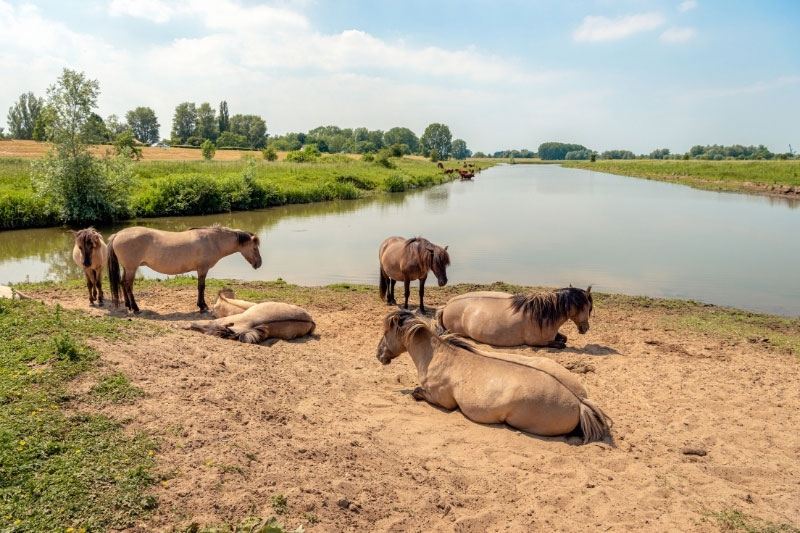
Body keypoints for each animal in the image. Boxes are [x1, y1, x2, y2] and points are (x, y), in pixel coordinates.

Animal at [108, 225, 262, 313]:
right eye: (254, 248)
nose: (259, 264)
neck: (212, 240)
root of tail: (117, 234)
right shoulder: (202, 269)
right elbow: (201, 287)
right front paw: (202, 306)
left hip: (127, 268)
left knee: (123, 283)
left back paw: (128, 305)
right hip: (131, 268)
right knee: (128, 285)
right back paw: (135, 308)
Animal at [376, 310, 612, 443]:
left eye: (386, 332)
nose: (379, 355)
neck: (439, 354)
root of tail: (580, 402)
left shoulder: (441, 400)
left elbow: (417, 392)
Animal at [436, 287, 593, 349]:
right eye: (588, 307)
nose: (586, 328)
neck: (541, 315)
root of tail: (447, 305)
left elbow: (564, 338)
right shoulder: (539, 343)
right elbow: (562, 344)